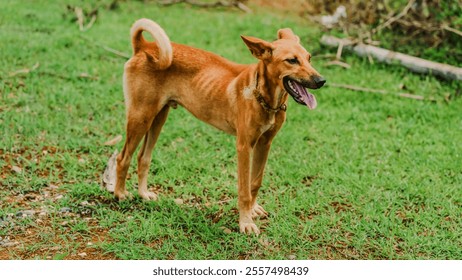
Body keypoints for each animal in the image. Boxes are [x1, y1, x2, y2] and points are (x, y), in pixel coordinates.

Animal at [114, 18, 324, 234]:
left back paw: (143, 194)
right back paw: (120, 194)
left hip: (158, 118)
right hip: (141, 116)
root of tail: (144, 46)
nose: (321, 80)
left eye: (309, 58)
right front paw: (246, 222)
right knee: (123, 157)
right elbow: (244, 190)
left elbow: (255, 183)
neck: (265, 98)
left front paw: (253, 210)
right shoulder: (244, 146)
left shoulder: (264, 144)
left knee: (143, 157)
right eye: (292, 60)